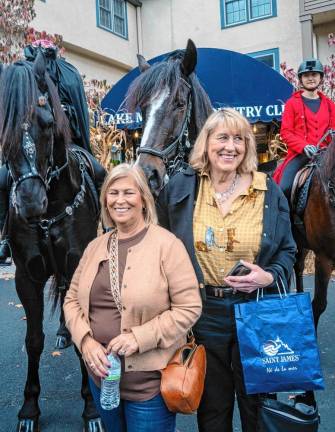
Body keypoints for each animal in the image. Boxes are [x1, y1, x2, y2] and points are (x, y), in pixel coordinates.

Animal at [0, 54, 103, 432]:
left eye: (46, 124)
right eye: (3, 125)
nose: (30, 203)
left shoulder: (77, 265)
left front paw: (91, 410)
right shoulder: (25, 277)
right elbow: (33, 341)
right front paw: (29, 409)